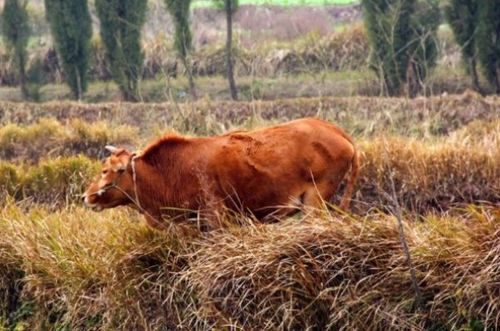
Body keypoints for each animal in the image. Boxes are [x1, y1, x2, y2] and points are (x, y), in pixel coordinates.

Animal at [83, 118, 360, 230]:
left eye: (108, 170)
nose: (87, 196)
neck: (167, 173)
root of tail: (337, 131)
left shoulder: (215, 218)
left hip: (315, 202)